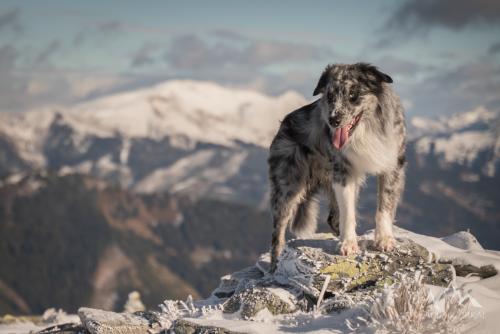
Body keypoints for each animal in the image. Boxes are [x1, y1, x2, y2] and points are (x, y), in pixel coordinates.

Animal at [270, 62, 406, 272]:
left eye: (353, 94)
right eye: (330, 97)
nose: (333, 120)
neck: (366, 130)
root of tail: (284, 123)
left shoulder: (392, 165)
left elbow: (385, 206)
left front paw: (384, 239)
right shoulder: (343, 173)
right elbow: (348, 212)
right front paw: (348, 244)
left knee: (333, 218)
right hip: (288, 188)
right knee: (278, 235)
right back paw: (274, 266)